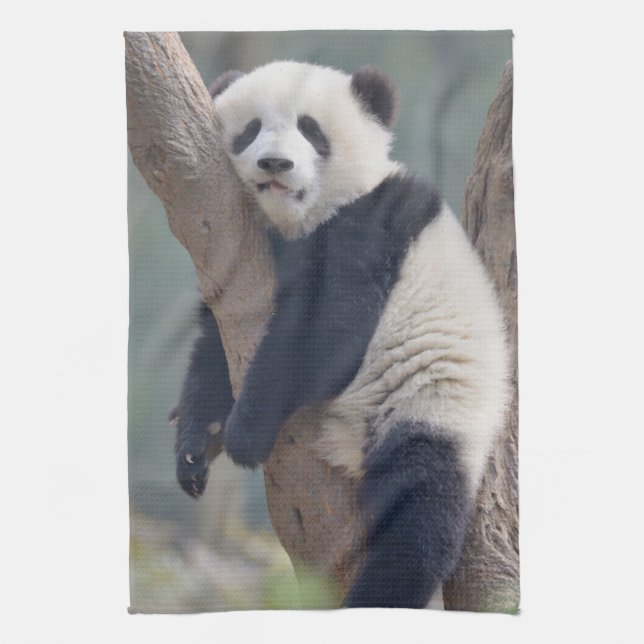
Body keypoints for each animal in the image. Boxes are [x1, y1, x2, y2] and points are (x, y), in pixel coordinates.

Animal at [173, 61, 510, 609]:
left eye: (311, 129)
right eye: (251, 130)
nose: (275, 163)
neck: (301, 222)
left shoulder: (376, 224)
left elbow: (327, 340)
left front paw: (244, 433)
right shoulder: (237, 255)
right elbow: (215, 343)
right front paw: (197, 444)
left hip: (434, 408)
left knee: (419, 515)